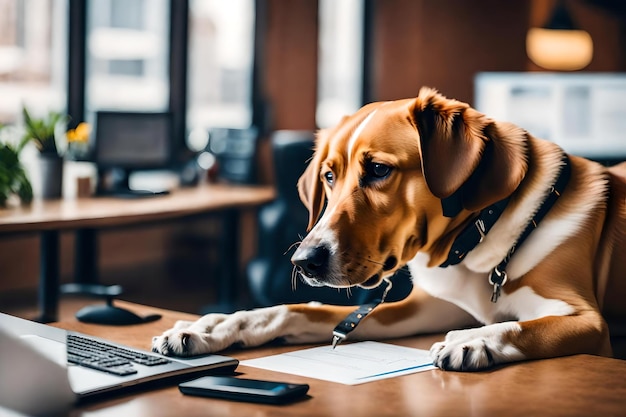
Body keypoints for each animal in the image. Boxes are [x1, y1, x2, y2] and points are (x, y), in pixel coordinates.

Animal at [152, 88, 624, 370]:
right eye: (328, 176)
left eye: (379, 170)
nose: (304, 261)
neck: (481, 235)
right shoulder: (426, 307)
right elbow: (298, 309)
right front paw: (210, 328)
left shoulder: (585, 320)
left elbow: (520, 327)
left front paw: (473, 341)